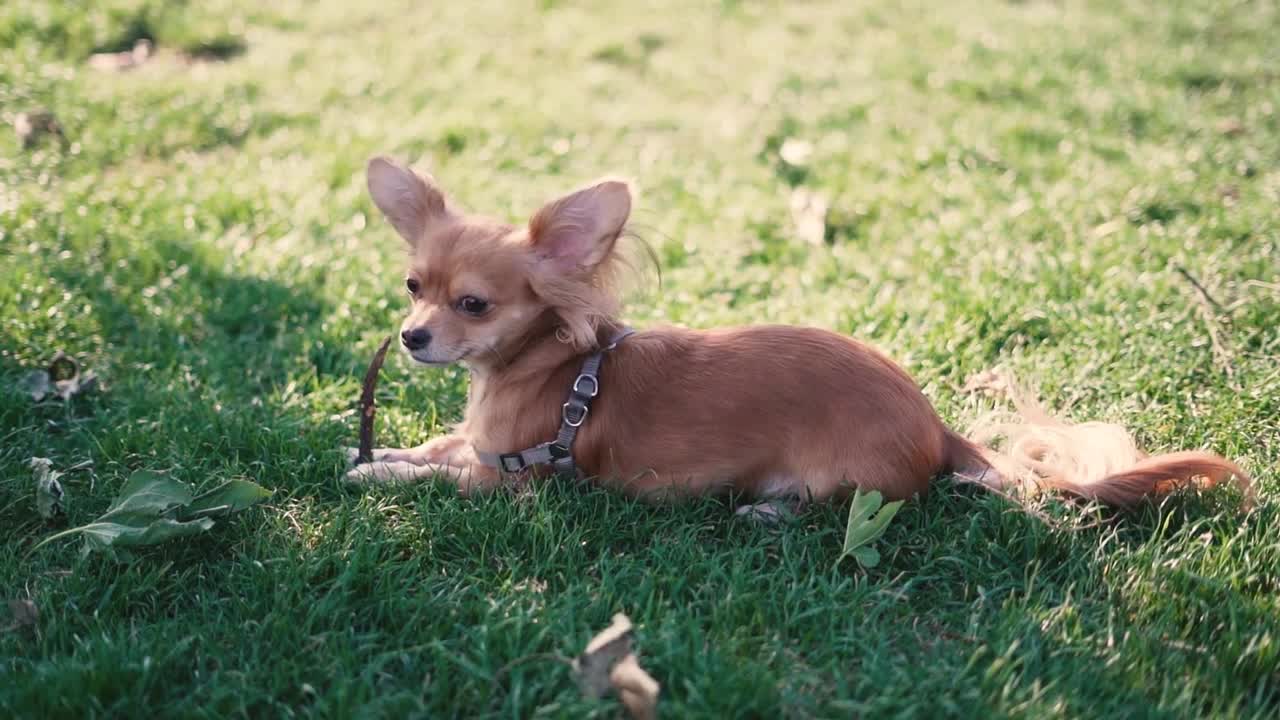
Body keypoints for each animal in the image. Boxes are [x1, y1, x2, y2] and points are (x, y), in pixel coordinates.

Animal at [348, 155, 1249, 507]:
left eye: (474, 306)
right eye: (414, 288)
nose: (412, 337)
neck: (544, 368)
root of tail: (934, 425)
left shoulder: (509, 482)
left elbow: (438, 475)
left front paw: (378, 472)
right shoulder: (475, 444)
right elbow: (433, 446)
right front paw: (385, 448)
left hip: (831, 481)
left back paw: (767, 514)